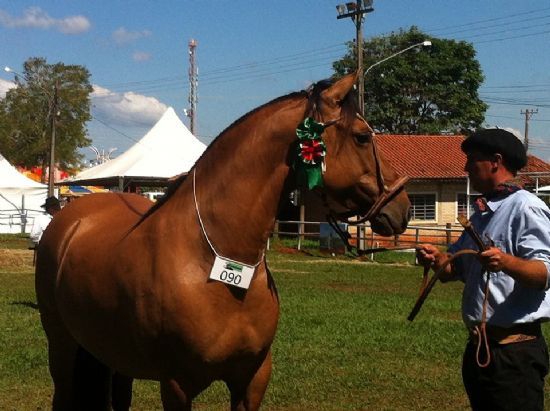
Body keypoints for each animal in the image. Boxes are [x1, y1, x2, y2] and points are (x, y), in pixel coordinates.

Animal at [35, 72, 410, 410]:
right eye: (362, 137)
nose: (402, 207)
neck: (216, 262)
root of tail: (72, 219)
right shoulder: (177, 386)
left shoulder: (252, 380)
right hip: (62, 345)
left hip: (114, 356)